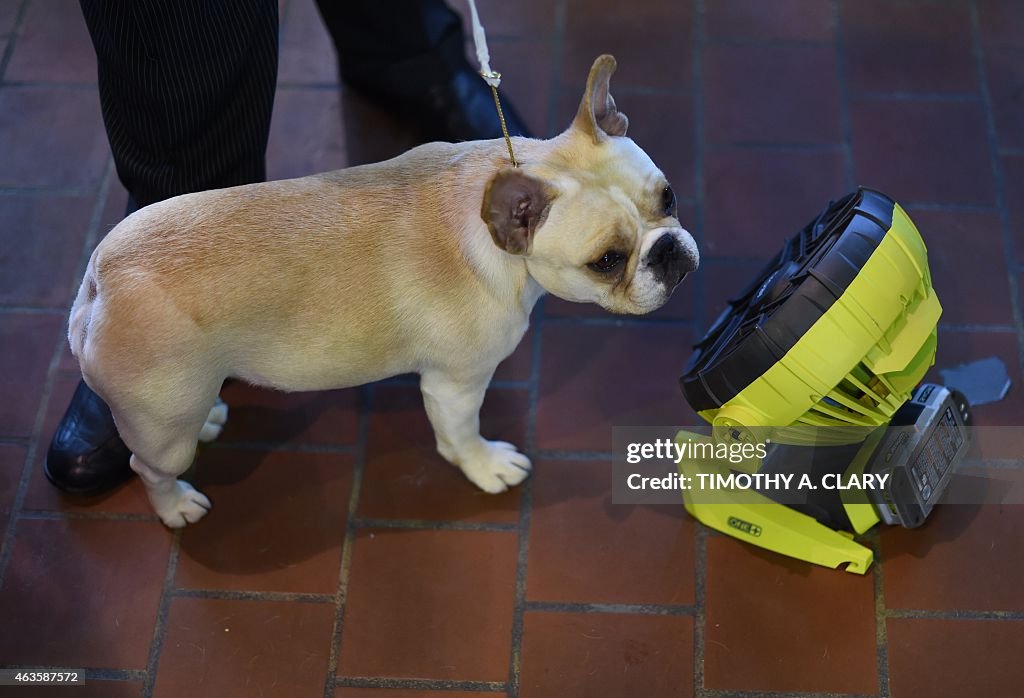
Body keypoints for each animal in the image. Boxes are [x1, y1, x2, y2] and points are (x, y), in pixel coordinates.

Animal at [68, 57, 700, 524]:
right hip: (161, 424)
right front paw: (486, 466)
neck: (495, 241)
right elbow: (460, 437)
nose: (670, 252)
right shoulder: (455, 384)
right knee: (147, 465)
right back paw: (174, 505)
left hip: (180, 399)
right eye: (606, 261)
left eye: (668, 197)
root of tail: (101, 281)